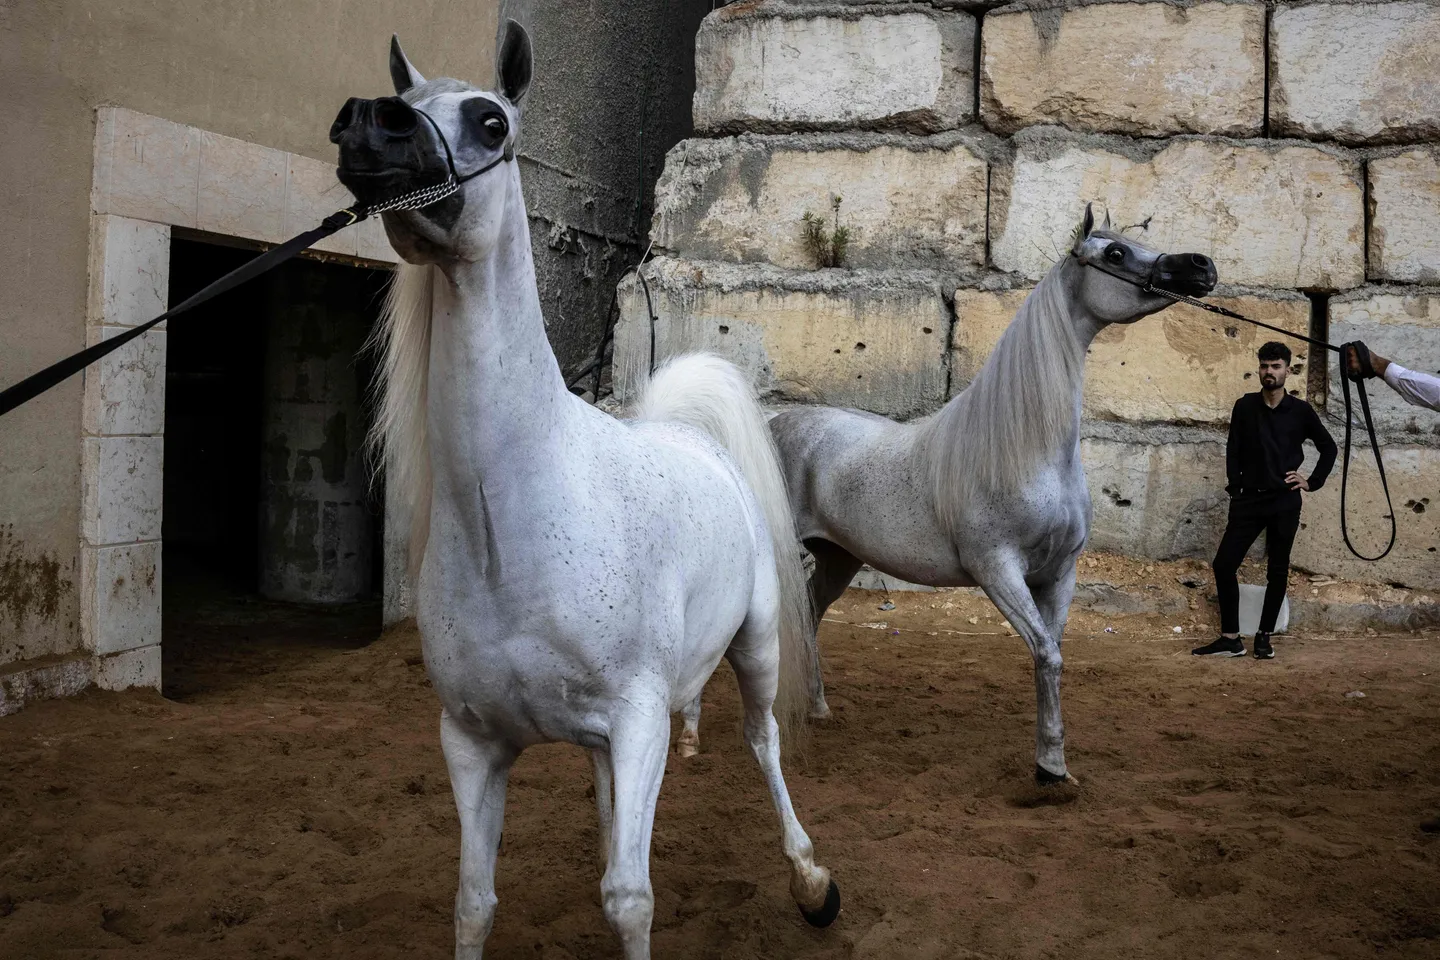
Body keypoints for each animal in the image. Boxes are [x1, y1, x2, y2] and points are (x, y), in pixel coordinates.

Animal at [330, 23, 839, 958]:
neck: (513, 529)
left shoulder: (640, 722)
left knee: (764, 743)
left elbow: (630, 899)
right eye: (408, 101)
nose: (367, 126)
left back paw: (812, 879)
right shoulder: (473, 743)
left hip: (754, 649)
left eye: (492, 121)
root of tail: (690, 437)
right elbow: (475, 902)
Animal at [678, 205, 1217, 785]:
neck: (1029, 451)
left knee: (810, 614)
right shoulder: (998, 569)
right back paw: (691, 733)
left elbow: (1053, 654)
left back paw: (818, 708)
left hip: (838, 557)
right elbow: (1046, 654)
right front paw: (1050, 768)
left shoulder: (1060, 572)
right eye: (1114, 253)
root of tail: (771, 427)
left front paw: (1053, 760)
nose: (1201, 266)